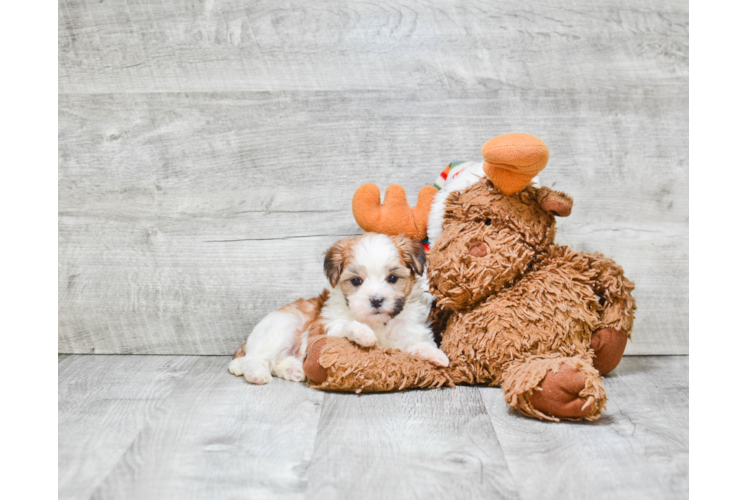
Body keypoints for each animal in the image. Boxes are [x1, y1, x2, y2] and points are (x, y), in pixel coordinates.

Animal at [231, 232, 448, 384]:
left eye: (393, 278)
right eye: (356, 281)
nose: (376, 300)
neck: (378, 323)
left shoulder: (405, 337)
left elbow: (414, 345)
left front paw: (435, 354)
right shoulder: (326, 327)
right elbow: (346, 325)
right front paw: (364, 334)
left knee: (276, 361)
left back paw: (295, 370)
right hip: (284, 326)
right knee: (256, 357)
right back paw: (257, 373)